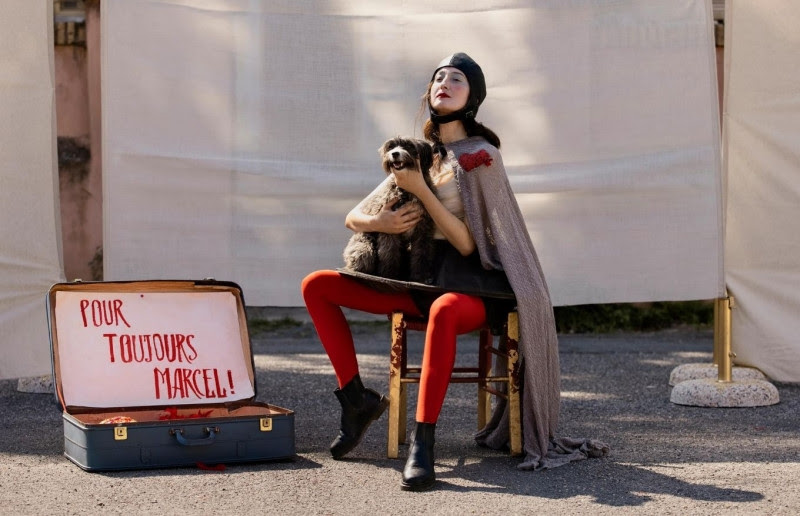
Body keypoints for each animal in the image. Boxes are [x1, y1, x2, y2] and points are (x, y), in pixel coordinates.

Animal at [340, 137, 434, 282]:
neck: (407, 192)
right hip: (364, 249)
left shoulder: (423, 230)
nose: (394, 154)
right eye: (391, 146)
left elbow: (421, 253)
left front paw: (421, 276)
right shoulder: (390, 229)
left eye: (408, 145)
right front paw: (389, 275)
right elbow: (389, 253)